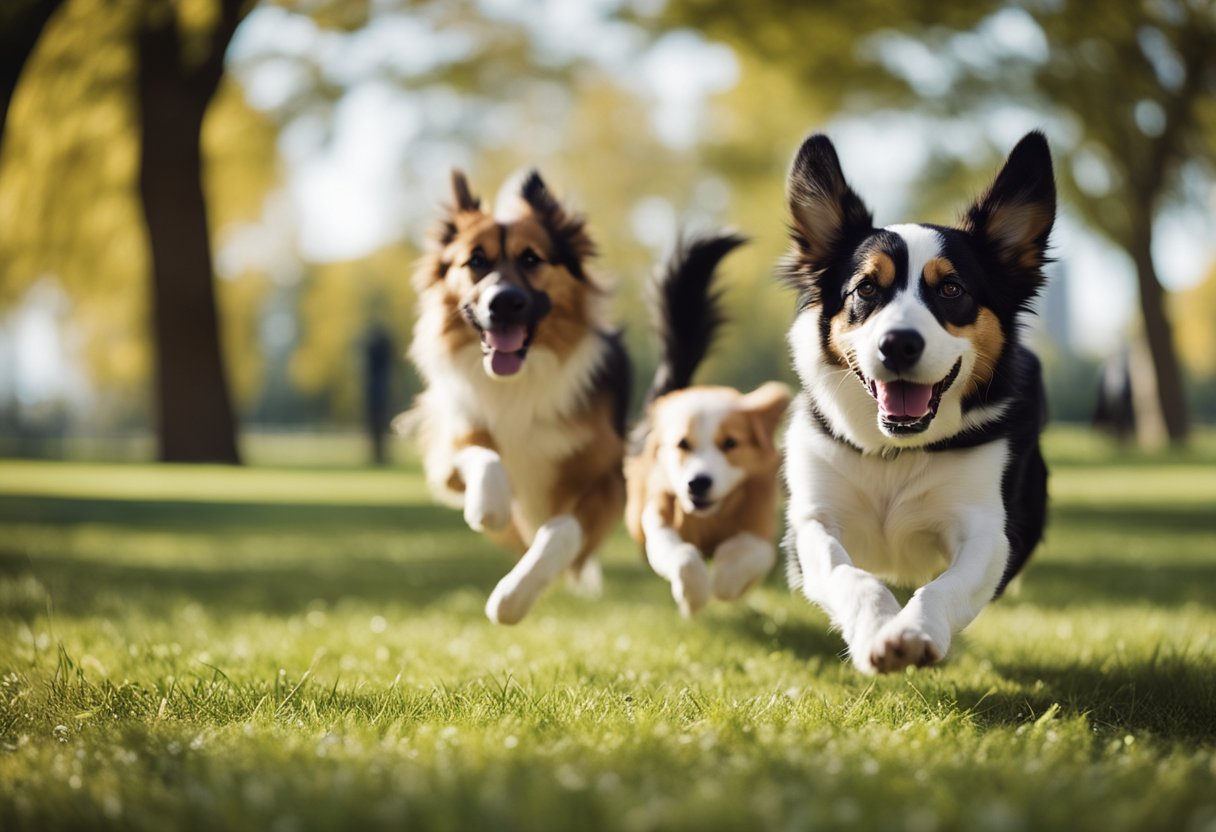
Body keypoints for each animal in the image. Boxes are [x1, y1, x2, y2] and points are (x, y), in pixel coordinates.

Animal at [778, 133, 1055, 671]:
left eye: (951, 288)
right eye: (866, 288)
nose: (899, 344)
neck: (896, 452)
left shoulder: (988, 530)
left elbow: (946, 586)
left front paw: (912, 632)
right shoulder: (812, 522)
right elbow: (847, 573)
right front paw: (876, 628)